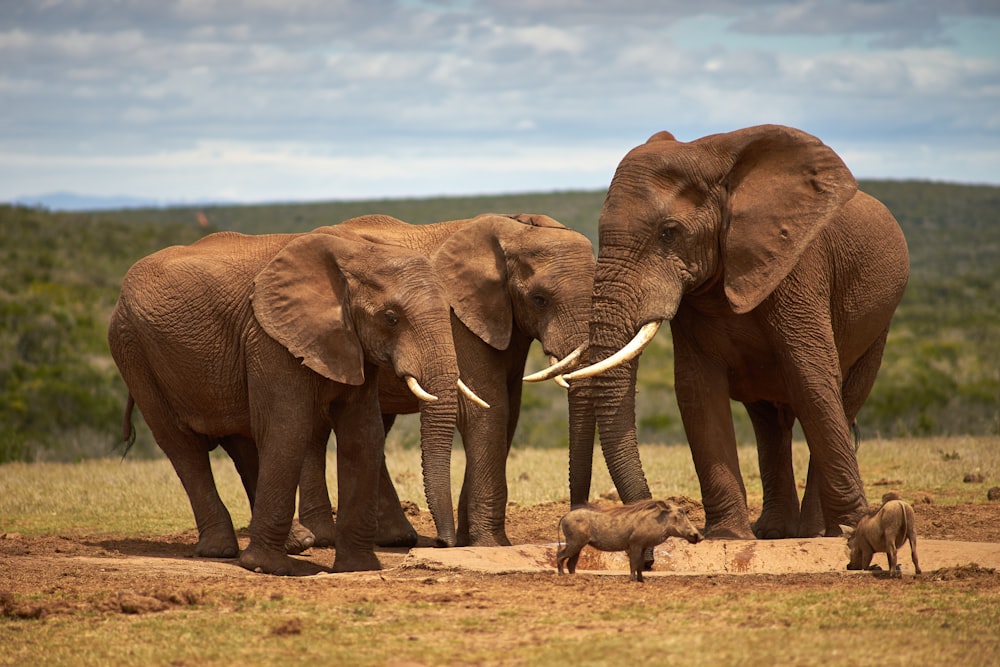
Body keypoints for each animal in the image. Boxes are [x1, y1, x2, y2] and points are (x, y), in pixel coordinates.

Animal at [105, 230, 464, 576]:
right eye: (391, 318)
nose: (444, 543)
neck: (356, 254)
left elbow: (364, 435)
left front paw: (359, 568)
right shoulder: (269, 338)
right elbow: (289, 428)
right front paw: (267, 568)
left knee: (242, 440)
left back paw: (297, 542)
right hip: (132, 349)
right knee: (182, 446)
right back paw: (222, 550)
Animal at [296, 214, 596, 548]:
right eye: (540, 299)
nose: (443, 542)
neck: (513, 229)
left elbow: (509, 411)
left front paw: (471, 541)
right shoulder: (458, 320)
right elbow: (487, 409)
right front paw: (490, 545)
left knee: (374, 427)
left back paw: (395, 538)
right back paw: (322, 537)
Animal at [556, 498, 704, 580]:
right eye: (679, 514)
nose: (701, 536)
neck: (656, 520)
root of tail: (565, 516)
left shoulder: (643, 546)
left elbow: (640, 565)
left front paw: (641, 581)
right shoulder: (635, 545)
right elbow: (633, 564)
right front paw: (632, 580)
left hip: (578, 545)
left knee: (571, 563)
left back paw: (575, 577)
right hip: (574, 543)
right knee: (560, 555)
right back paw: (562, 576)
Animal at [560, 125, 912, 544]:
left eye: (668, 233)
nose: (663, 513)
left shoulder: (797, 264)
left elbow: (811, 377)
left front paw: (852, 527)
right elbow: (697, 389)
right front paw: (728, 537)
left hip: (879, 324)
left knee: (843, 398)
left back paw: (817, 532)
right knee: (769, 422)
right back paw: (776, 532)